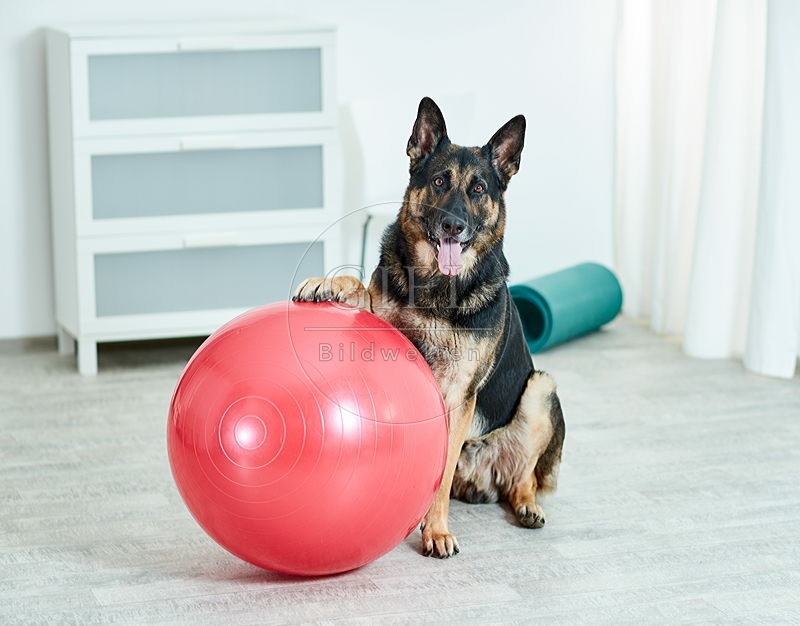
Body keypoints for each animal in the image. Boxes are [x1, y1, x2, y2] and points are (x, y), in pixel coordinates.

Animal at [292, 97, 564, 556]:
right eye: (439, 182)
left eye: (478, 189)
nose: (453, 225)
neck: (435, 288)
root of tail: (482, 478)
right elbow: (357, 287)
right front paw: (327, 283)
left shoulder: (458, 395)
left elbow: (440, 474)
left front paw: (435, 529)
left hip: (540, 388)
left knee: (522, 478)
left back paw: (527, 506)